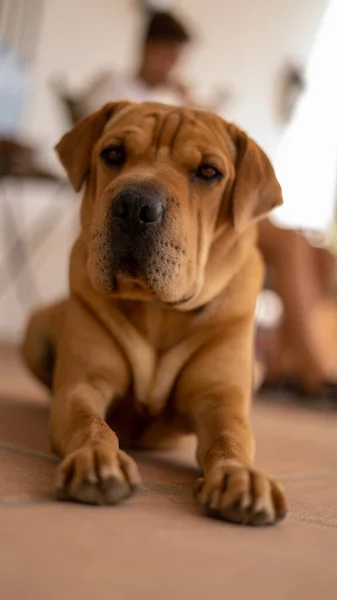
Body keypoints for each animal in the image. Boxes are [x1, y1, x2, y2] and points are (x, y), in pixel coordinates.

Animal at [22, 102, 284, 524]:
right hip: (35, 333)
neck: (157, 309)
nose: (134, 206)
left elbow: (229, 440)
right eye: (113, 153)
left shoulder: (221, 402)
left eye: (208, 172)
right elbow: (90, 422)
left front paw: (241, 476)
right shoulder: (83, 385)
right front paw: (97, 457)